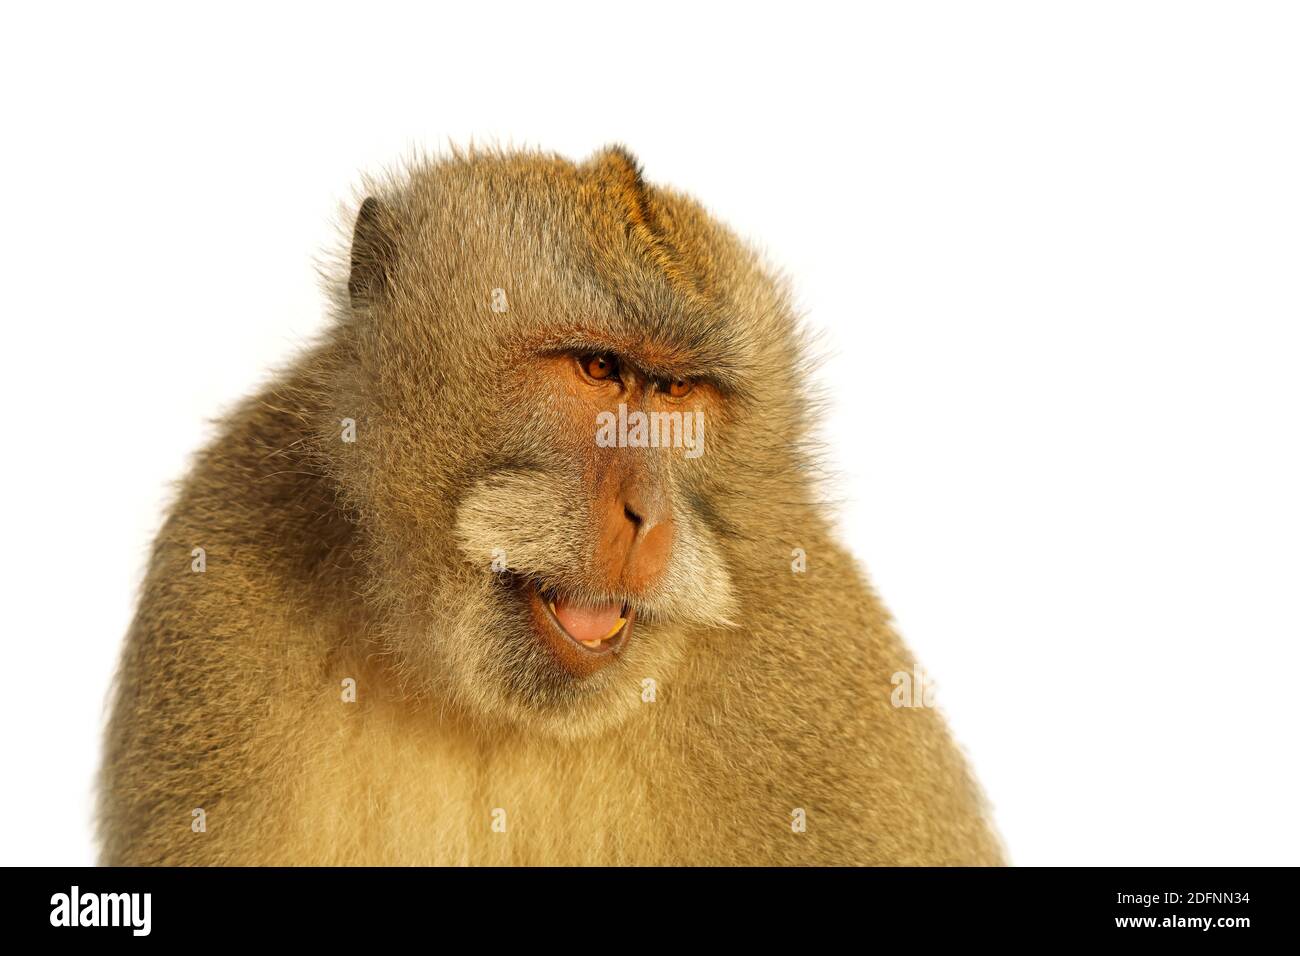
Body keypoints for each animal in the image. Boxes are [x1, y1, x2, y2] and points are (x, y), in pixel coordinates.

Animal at [97, 145, 1005, 866]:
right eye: (598, 369)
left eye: (677, 393)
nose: (647, 515)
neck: (498, 712)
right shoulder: (221, 576)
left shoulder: (826, 682)